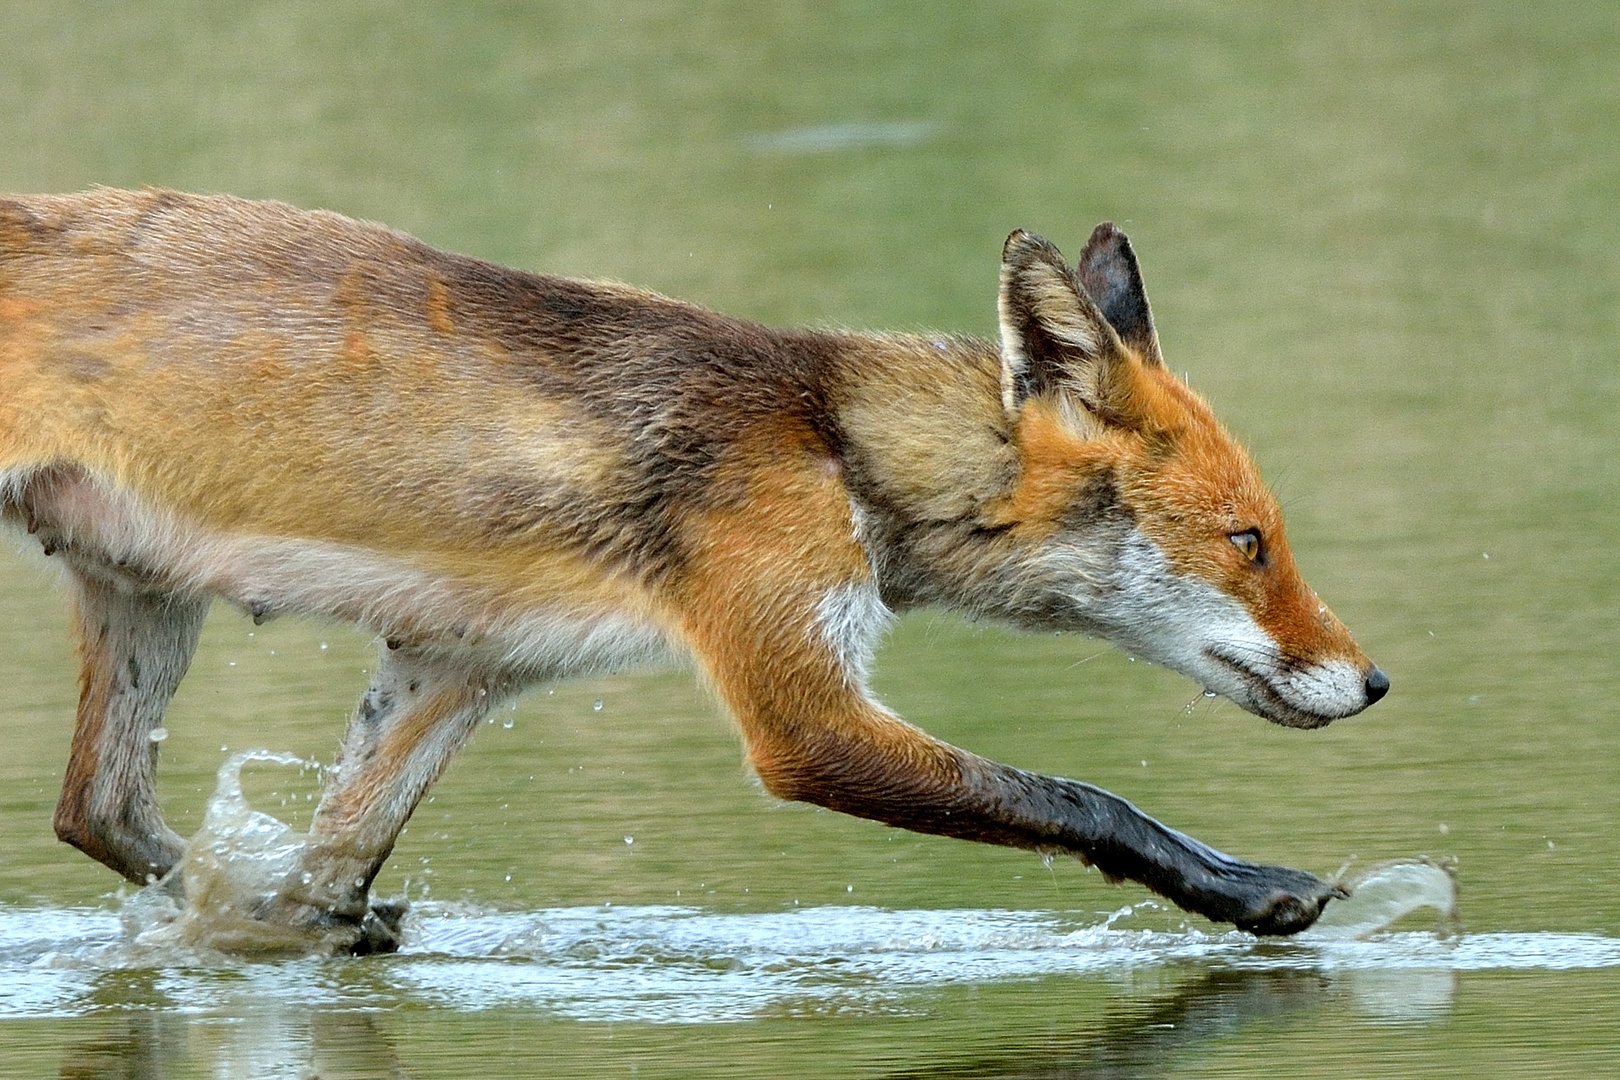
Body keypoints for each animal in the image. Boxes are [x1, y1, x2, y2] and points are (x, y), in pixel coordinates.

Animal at [3, 190, 1393, 952]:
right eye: (1250, 543)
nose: (1375, 683)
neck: (832, 443)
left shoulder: (457, 668)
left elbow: (324, 873)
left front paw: (301, 935)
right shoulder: (800, 712)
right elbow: (1080, 798)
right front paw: (1249, 888)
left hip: (146, 601)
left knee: (96, 809)